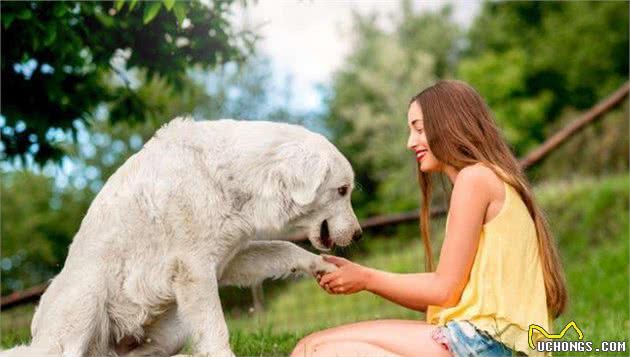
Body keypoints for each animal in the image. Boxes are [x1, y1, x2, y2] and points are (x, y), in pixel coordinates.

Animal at [2, 118, 362, 354]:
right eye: (342, 190)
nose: (359, 235)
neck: (227, 177)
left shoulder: (229, 260)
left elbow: (286, 249)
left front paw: (324, 267)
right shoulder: (195, 271)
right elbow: (217, 331)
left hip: (172, 331)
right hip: (87, 301)